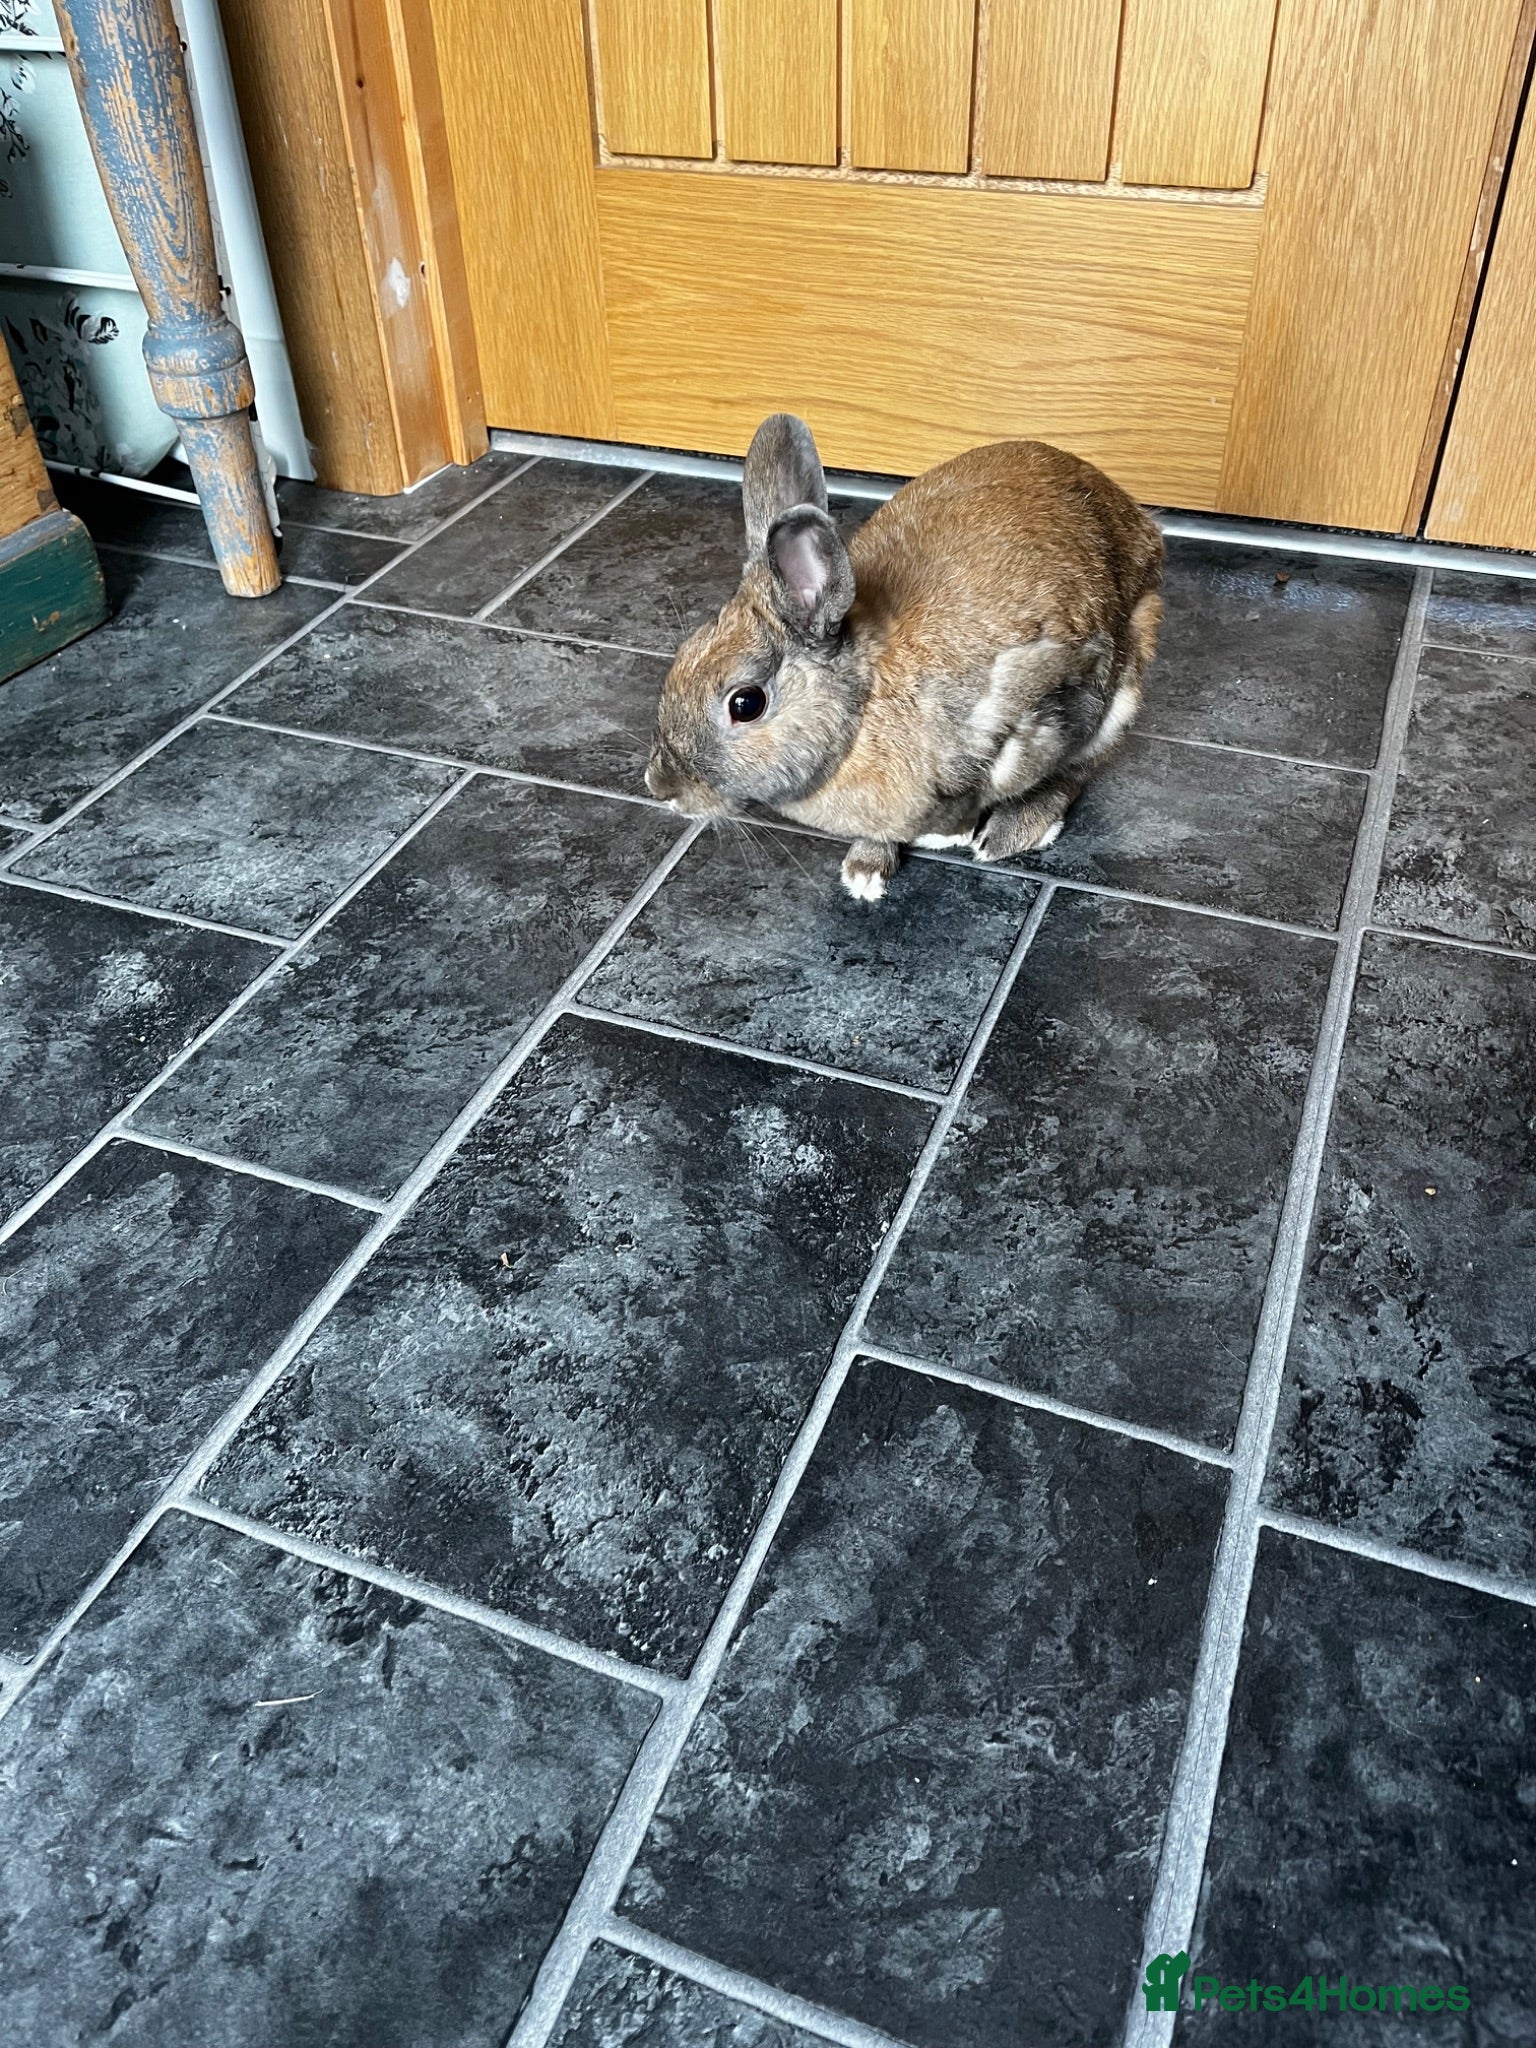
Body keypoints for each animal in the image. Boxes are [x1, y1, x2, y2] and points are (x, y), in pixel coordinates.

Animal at [645, 414, 1164, 901]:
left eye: (746, 703)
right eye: (683, 655)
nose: (661, 787)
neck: (861, 708)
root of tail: (1136, 519)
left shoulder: (1047, 701)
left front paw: (950, 836)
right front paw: (866, 869)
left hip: (1125, 687)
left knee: (1080, 769)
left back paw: (1014, 831)